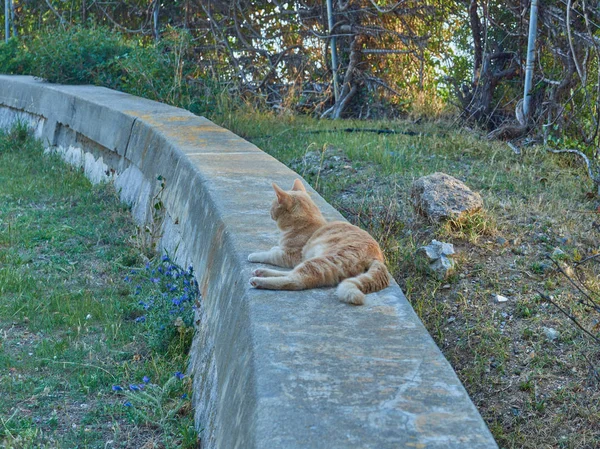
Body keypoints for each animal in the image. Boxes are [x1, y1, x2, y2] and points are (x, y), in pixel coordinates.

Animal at [247, 178, 392, 304]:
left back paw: (258, 281)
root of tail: (378, 257)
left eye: (272, 205)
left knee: (295, 280)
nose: (269, 212)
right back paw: (262, 272)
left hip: (320, 261)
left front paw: (255, 255)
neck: (306, 222)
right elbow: (276, 249)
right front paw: (274, 247)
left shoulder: (291, 256)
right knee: (291, 273)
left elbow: (270, 254)